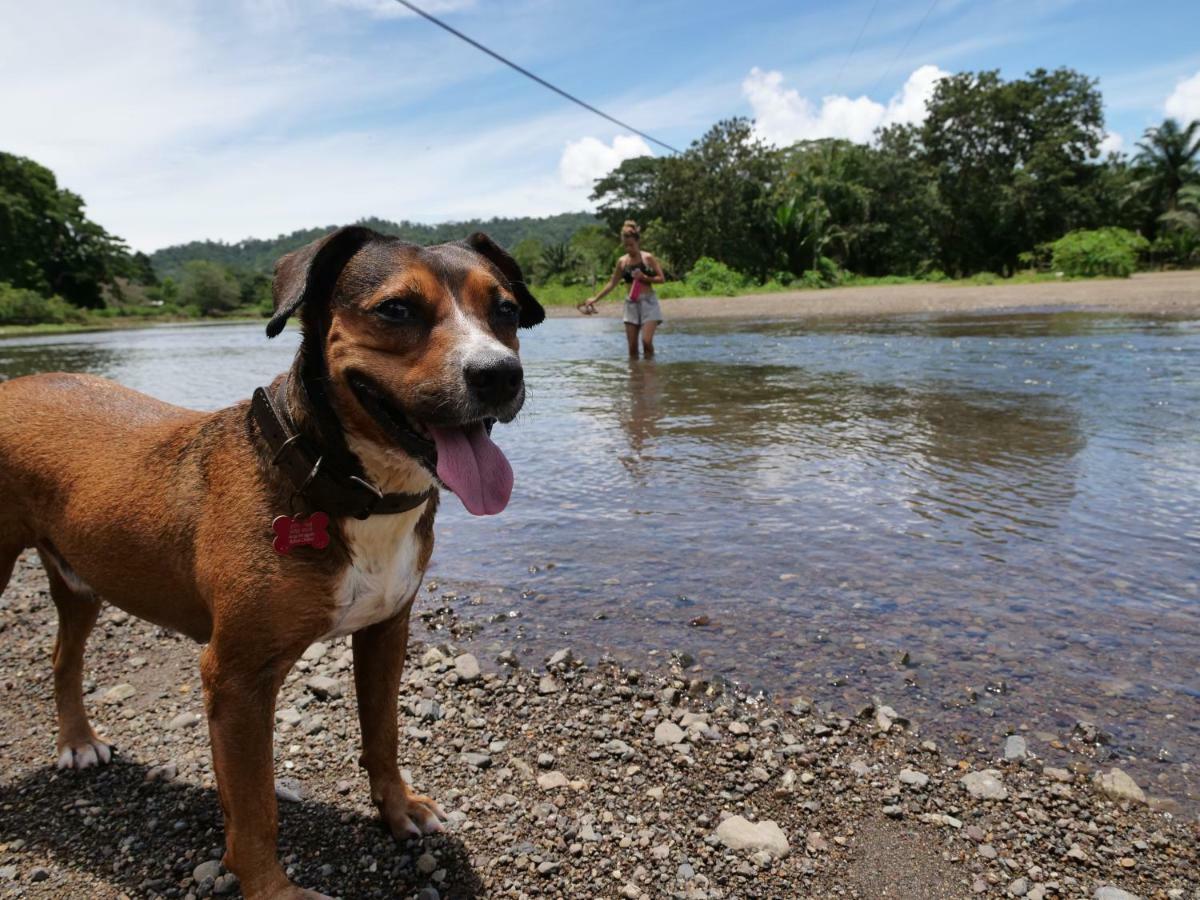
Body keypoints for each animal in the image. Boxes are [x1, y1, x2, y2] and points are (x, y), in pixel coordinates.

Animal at [0, 226, 544, 900]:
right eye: (396, 310)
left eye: (506, 310)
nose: (499, 374)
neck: (348, 485)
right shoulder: (237, 678)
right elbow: (255, 805)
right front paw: (272, 888)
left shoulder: (386, 631)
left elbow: (383, 734)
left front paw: (399, 810)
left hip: (79, 582)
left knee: (62, 657)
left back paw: (77, 741)